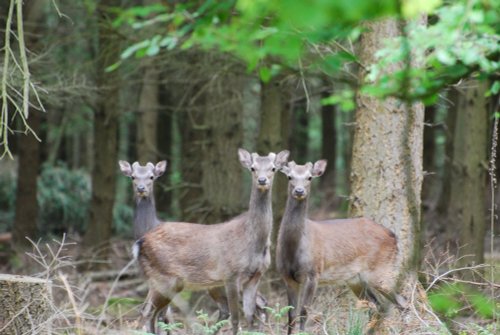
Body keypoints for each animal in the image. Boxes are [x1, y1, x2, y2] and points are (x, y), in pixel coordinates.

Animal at [122, 150, 290, 335]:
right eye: (252, 168)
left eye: (273, 168)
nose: (262, 180)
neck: (253, 241)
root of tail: (140, 241)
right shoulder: (231, 274)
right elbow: (236, 318)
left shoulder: (255, 276)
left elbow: (249, 314)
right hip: (165, 278)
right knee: (149, 312)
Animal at [278, 160, 406, 334]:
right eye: (289, 176)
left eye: (309, 177)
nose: (299, 191)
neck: (294, 249)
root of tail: (393, 235)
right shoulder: (287, 277)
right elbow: (291, 315)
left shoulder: (313, 273)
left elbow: (304, 312)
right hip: (356, 279)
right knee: (376, 305)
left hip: (381, 270)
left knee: (401, 301)